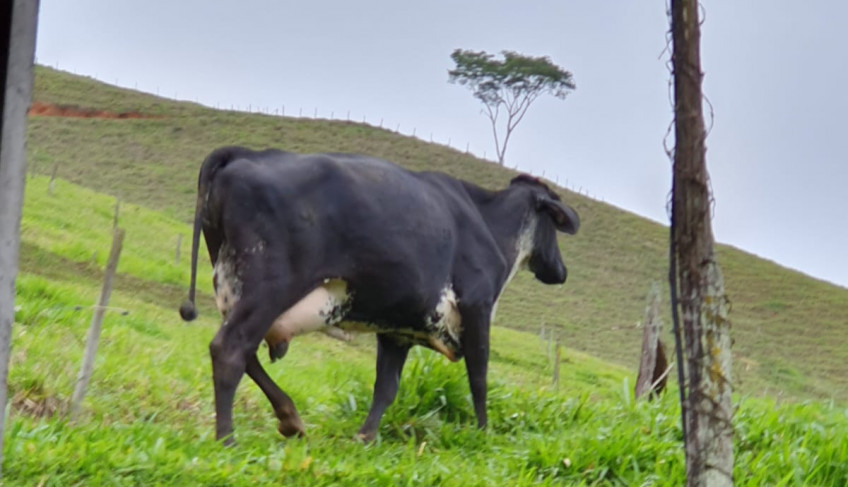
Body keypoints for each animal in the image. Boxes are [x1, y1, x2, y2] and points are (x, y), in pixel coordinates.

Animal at [177, 147, 576, 444]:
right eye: (553, 226)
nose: (561, 270)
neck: (489, 225)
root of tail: (249, 154)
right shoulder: (476, 309)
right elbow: (479, 379)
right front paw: (483, 434)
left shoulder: (398, 328)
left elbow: (386, 387)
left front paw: (365, 437)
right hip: (269, 288)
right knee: (229, 350)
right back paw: (227, 439)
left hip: (237, 289)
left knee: (244, 354)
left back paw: (291, 419)